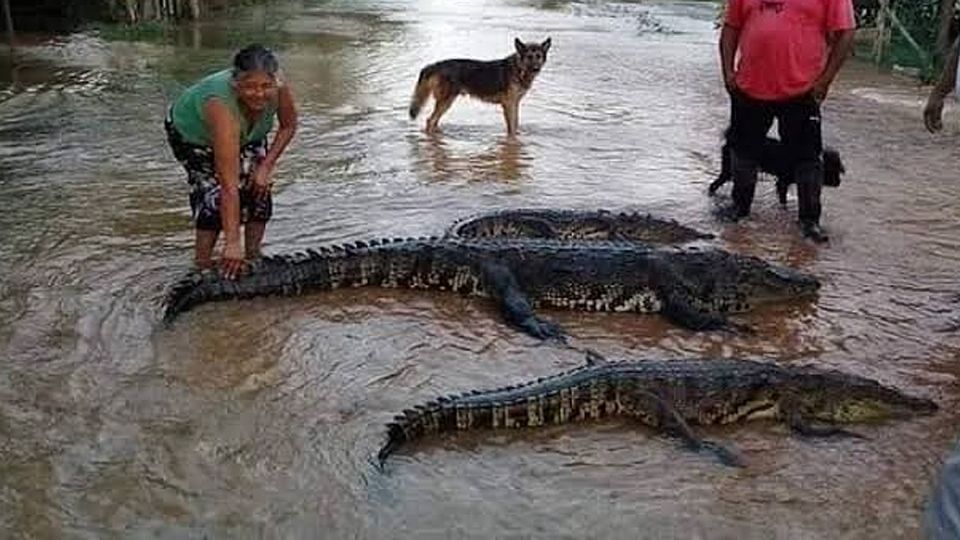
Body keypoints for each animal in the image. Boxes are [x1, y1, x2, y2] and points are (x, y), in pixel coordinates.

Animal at [408, 37, 552, 136]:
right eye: (529, 57)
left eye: (538, 56)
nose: (536, 68)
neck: (519, 68)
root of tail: (435, 65)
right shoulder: (509, 105)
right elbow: (512, 127)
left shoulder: (514, 104)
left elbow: (515, 124)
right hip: (446, 101)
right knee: (430, 120)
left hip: (445, 102)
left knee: (434, 121)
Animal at [704, 127, 848, 208]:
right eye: (834, 171)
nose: (839, 182)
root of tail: (731, 140)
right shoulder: (783, 181)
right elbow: (782, 198)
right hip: (729, 169)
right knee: (715, 184)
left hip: (728, 169)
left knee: (715, 183)